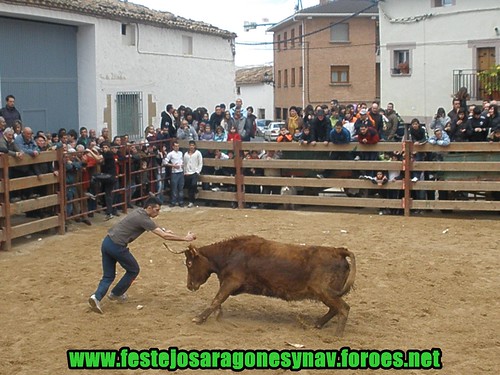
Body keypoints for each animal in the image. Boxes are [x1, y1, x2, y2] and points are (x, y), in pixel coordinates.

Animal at [168, 236, 356, 336]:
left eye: (189, 263)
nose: (189, 285)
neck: (230, 253)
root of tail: (338, 251)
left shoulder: (231, 281)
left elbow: (216, 300)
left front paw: (199, 318)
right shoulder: (227, 283)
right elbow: (218, 302)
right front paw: (218, 318)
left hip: (325, 292)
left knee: (343, 308)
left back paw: (337, 334)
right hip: (326, 294)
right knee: (334, 309)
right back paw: (317, 324)